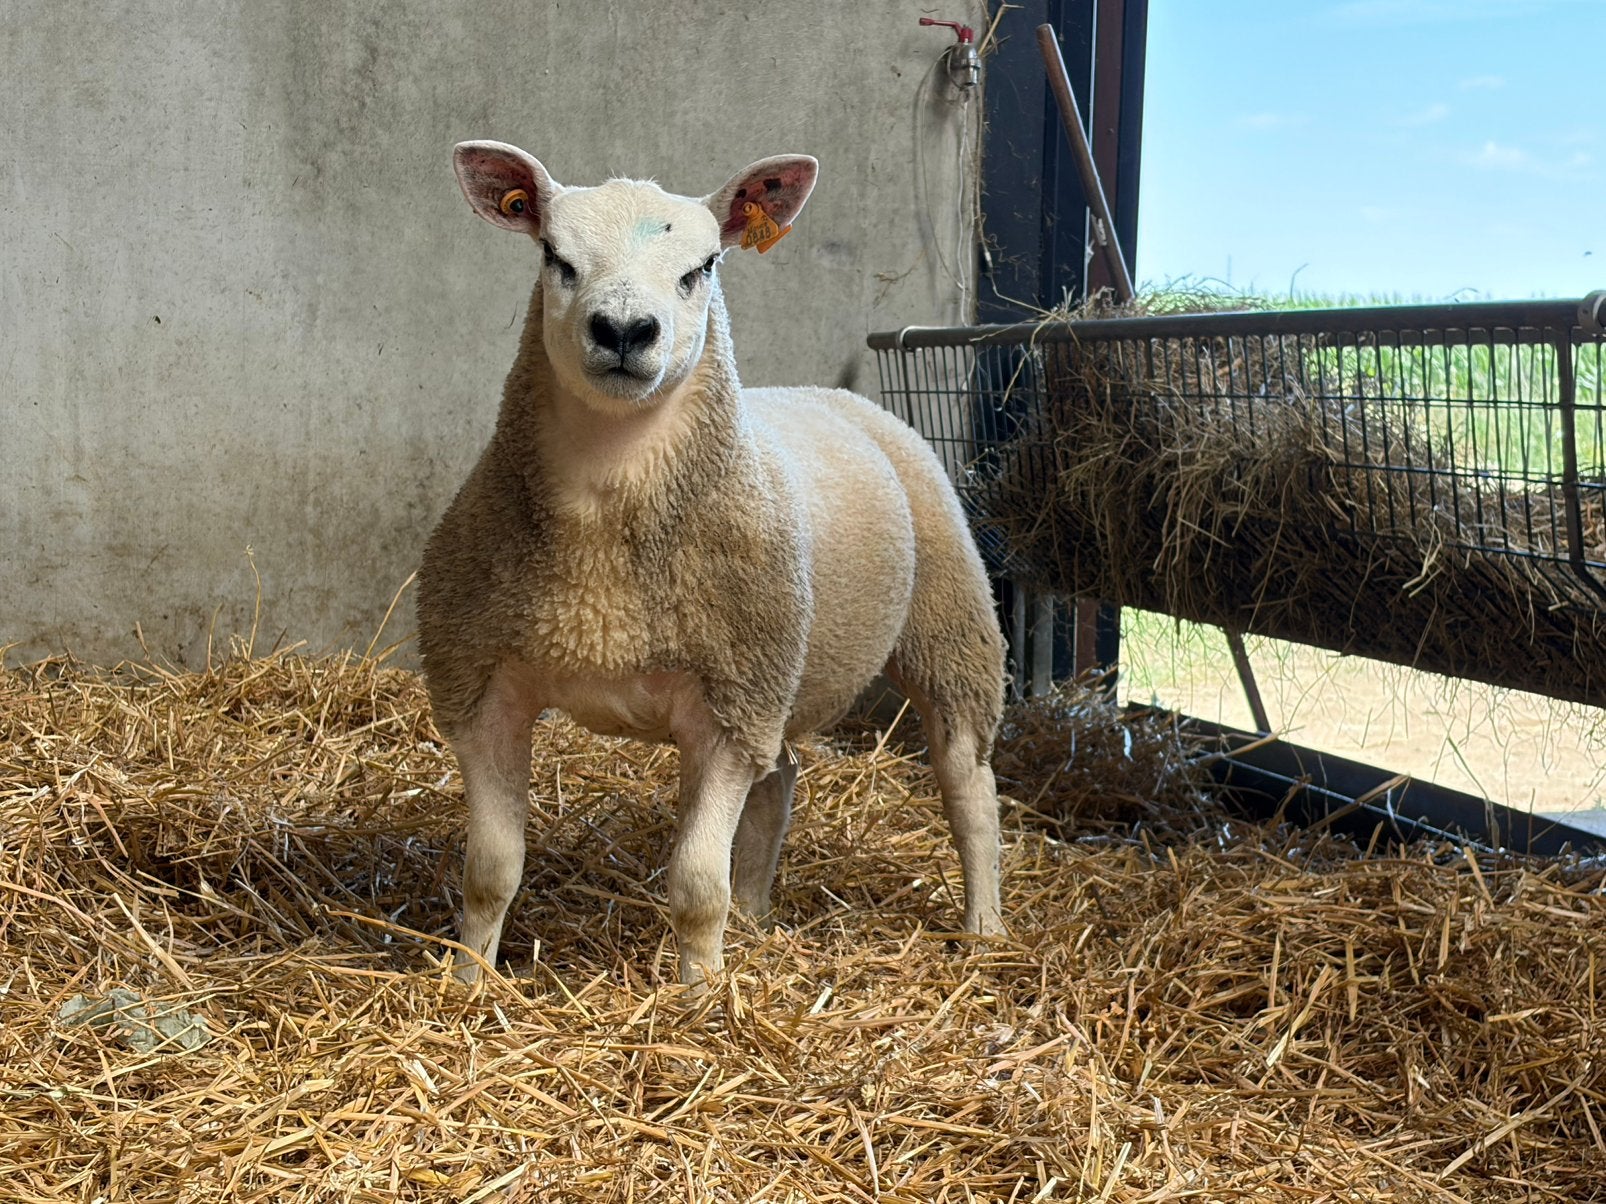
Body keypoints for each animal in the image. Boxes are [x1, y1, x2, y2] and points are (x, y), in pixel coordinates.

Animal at [418, 140, 1007, 988]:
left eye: (701, 268)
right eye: (555, 258)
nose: (623, 329)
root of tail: (832, 394)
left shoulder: (729, 709)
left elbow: (697, 885)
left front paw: (700, 993)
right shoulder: (479, 683)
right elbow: (489, 870)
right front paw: (469, 982)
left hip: (948, 626)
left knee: (970, 789)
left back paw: (984, 926)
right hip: (787, 672)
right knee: (781, 779)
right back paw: (757, 913)